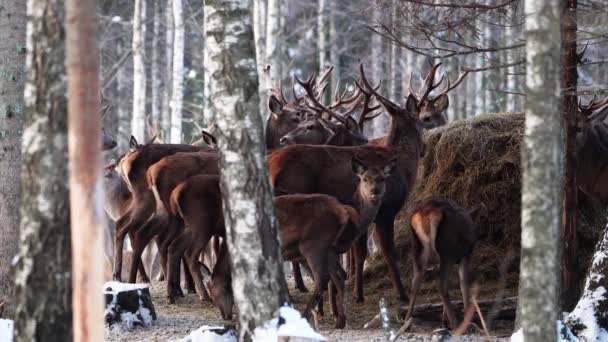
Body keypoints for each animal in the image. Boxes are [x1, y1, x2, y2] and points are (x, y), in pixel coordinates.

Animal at [169, 156, 396, 328]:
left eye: (219, 289)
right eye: (364, 179)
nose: (225, 316)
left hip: (314, 245)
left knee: (324, 278)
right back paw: (339, 320)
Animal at [268, 65, 426, 310]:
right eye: (422, 123)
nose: (425, 148)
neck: (403, 166)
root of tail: (272, 164)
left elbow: (360, 252)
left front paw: (356, 294)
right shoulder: (386, 209)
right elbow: (387, 252)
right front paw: (402, 295)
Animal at [404, 198, 480, 328]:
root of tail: (427, 212)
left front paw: (445, 319)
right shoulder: (466, 254)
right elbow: (464, 282)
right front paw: (467, 318)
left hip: (417, 248)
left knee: (415, 282)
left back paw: (407, 320)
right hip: (447, 250)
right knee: (440, 282)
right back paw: (455, 323)